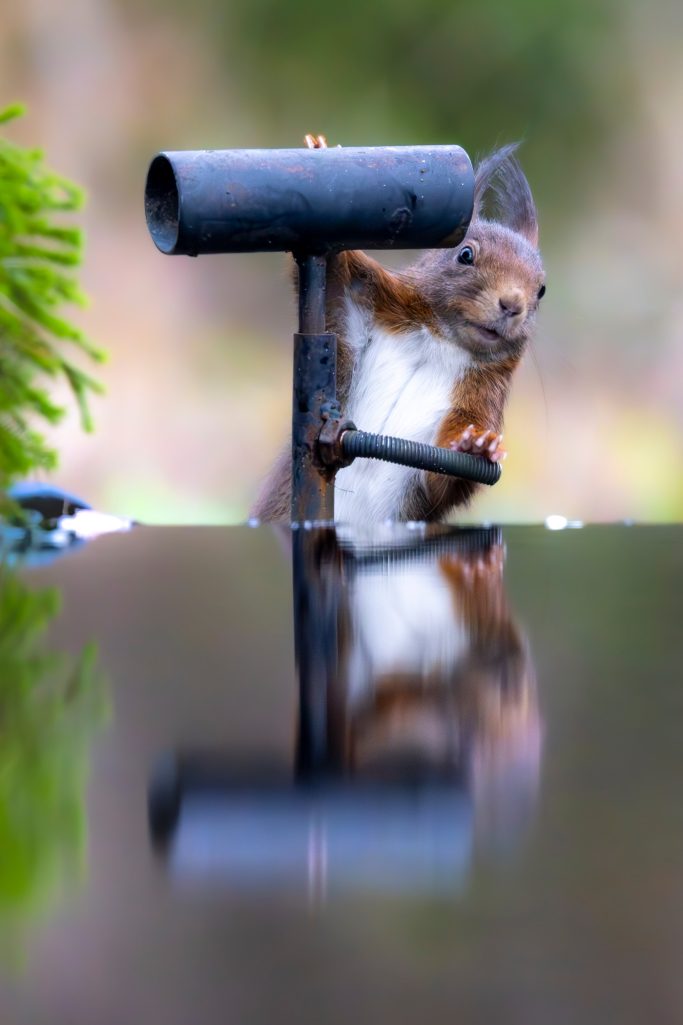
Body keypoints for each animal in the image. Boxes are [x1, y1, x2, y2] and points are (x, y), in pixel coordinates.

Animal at [252, 136, 545, 520]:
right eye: (465, 254)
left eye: (542, 289)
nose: (512, 304)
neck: (441, 342)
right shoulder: (360, 305)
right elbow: (333, 276)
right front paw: (321, 150)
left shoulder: (480, 397)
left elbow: (444, 479)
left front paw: (477, 447)